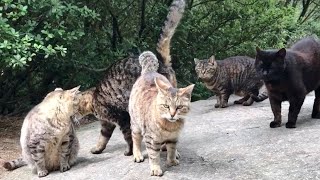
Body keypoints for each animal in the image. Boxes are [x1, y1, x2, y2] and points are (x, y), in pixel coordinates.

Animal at [89, 0, 186, 155]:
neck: (95, 99)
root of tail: (161, 62)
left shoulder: (121, 117)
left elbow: (128, 136)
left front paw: (130, 151)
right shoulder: (107, 124)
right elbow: (103, 137)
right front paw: (98, 148)